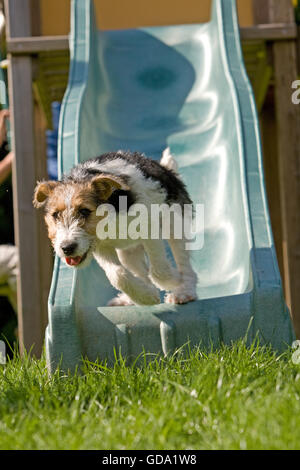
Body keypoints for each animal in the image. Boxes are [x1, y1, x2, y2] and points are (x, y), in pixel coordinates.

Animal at [33, 149, 197, 306]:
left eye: (85, 211)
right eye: (55, 215)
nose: (67, 248)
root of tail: (165, 169)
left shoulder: (149, 229)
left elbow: (159, 270)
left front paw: (174, 280)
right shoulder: (101, 247)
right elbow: (117, 275)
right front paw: (147, 297)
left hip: (175, 226)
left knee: (184, 263)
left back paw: (184, 292)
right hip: (128, 252)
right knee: (139, 271)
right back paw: (132, 297)